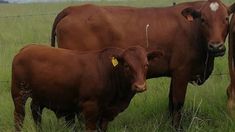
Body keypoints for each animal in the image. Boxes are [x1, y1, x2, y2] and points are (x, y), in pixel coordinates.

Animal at [11, 44, 162, 131]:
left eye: (146, 65)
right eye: (127, 66)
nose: (140, 86)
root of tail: (25, 49)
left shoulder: (106, 113)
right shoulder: (90, 108)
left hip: (40, 95)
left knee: (36, 111)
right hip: (18, 93)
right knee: (19, 117)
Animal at [50, 0, 235, 128]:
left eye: (226, 18)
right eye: (203, 19)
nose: (216, 46)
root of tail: (74, 9)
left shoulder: (174, 74)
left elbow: (170, 103)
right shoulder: (181, 72)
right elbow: (178, 104)